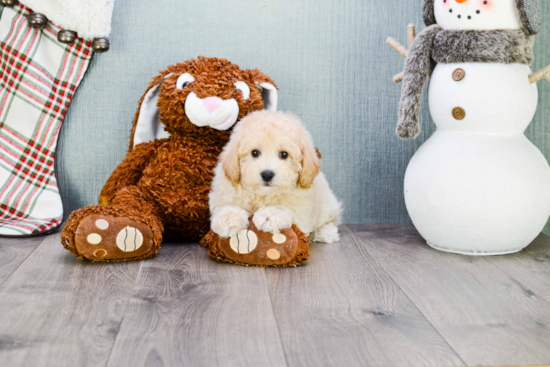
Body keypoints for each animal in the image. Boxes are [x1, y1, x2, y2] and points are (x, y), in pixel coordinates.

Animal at [209, 112, 342, 244]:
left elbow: (287, 210)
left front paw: (269, 216)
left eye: (284, 154)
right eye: (255, 153)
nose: (267, 174)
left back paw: (324, 233)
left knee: (330, 221)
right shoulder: (225, 193)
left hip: (327, 205)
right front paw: (228, 218)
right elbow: (226, 206)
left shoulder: (302, 210)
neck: (263, 194)